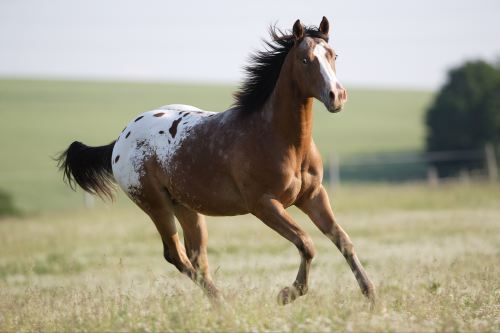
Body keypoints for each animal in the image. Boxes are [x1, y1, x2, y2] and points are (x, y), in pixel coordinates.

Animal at [56, 16, 376, 304]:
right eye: (305, 59)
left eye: (333, 55)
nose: (337, 96)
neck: (278, 137)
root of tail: (120, 139)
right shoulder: (264, 205)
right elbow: (307, 244)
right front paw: (287, 294)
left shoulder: (312, 196)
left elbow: (343, 240)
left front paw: (371, 295)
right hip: (156, 205)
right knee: (176, 256)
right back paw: (224, 304)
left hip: (186, 207)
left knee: (197, 258)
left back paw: (221, 305)